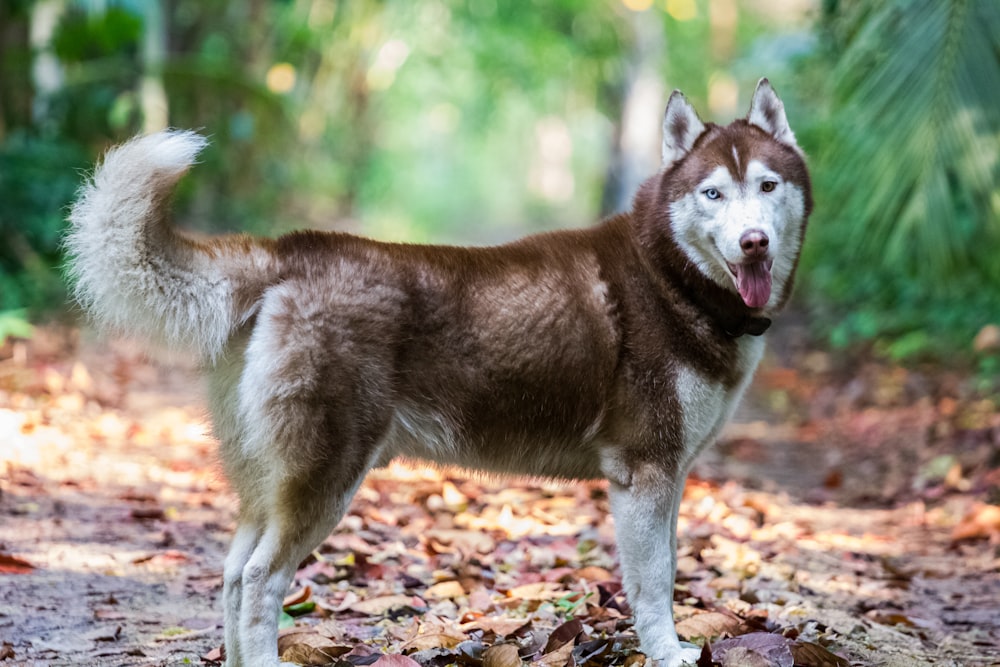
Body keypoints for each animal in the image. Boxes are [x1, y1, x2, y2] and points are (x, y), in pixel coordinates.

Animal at [64, 79, 812, 667]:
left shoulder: (670, 477)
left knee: (227, 574)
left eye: (766, 186)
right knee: (257, 581)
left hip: (267, 480)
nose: (753, 242)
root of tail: (288, 253)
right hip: (325, 477)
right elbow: (655, 585)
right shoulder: (643, 473)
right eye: (712, 193)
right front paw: (668, 652)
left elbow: (671, 567)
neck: (674, 279)